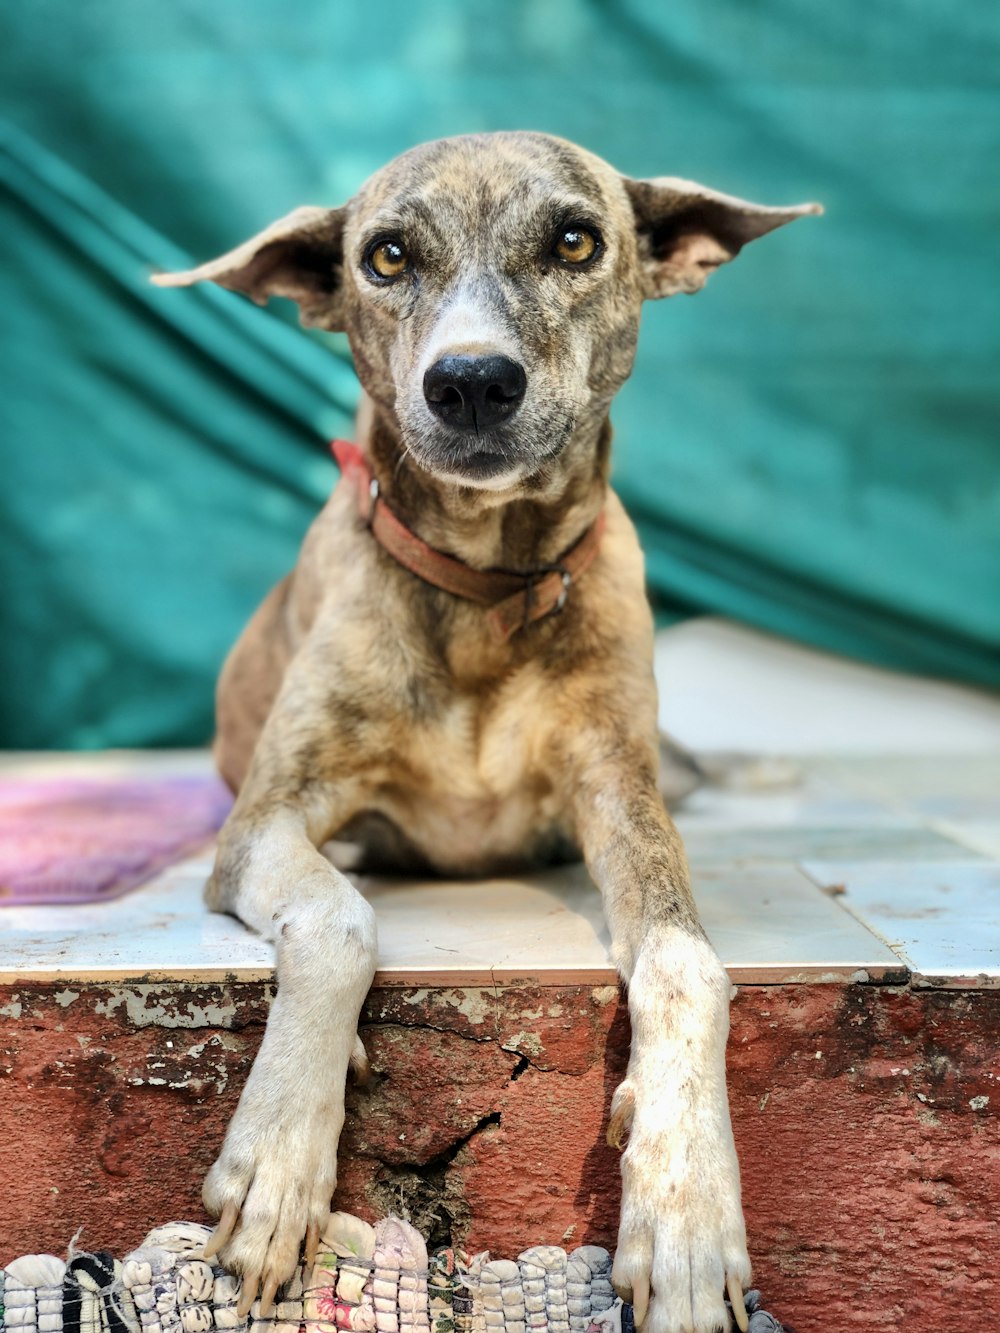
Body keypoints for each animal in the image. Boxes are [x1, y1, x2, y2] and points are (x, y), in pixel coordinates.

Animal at [152, 132, 816, 1333]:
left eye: (576, 241)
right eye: (385, 255)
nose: (469, 381)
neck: (485, 588)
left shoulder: (618, 792)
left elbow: (688, 961)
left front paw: (687, 1211)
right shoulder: (266, 819)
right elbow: (341, 917)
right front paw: (278, 1156)